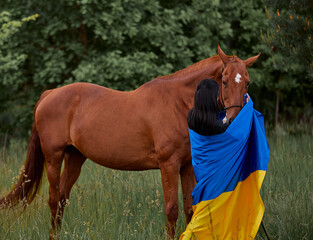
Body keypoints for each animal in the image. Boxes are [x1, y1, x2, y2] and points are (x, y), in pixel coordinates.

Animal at [0, 46, 258, 239]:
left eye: (247, 82)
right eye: (224, 81)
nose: (234, 119)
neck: (178, 104)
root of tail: (49, 94)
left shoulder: (186, 166)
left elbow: (189, 208)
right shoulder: (169, 165)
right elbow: (172, 210)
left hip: (75, 158)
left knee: (62, 199)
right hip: (53, 158)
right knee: (54, 200)